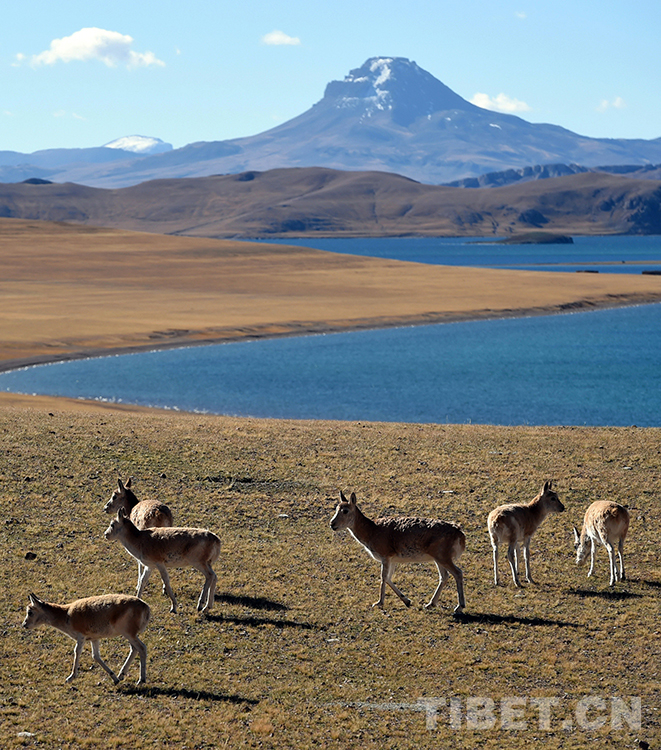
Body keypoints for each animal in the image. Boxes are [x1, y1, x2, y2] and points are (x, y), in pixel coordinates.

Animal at [21, 592, 150, 688]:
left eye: (30, 612)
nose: (24, 625)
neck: (67, 614)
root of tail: (145, 606)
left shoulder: (81, 637)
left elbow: (77, 651)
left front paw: (70, 677)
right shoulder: (94, 639)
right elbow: (95, 656)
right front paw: (115, 678)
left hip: (129, 634)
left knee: (142, 648)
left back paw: (141, 680)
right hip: (129, 635)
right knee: (135, 649)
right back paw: (121, 675)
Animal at [328, 494, 464, 616]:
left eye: (345, 510)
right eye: (336, 508)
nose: (332, 524)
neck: (371, 532)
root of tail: (460, 534)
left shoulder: (385, 555)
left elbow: (383, 577)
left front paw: (378, 603)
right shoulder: (392, 559)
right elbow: (388, 578)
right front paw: (407, 600)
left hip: (443, 556)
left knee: (458, 572)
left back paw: (459, 607)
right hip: (438, 558)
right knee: (444, 576)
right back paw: (430, 604)